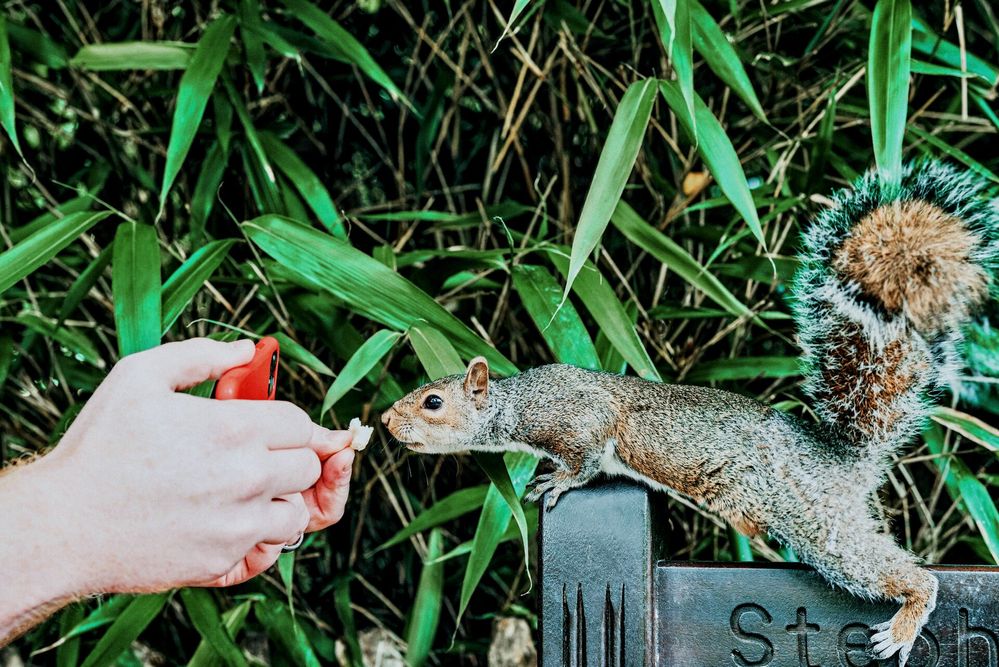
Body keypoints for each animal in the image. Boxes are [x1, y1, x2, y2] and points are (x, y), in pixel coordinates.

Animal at [380, 161, 999, 667]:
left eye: (433, 402)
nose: (385, 421)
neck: (519, 402)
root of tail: (839, 458)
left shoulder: (579, 418)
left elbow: (585, 461)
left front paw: (556, 482)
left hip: (813, 518)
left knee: (896, 572)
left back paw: (908, 615)